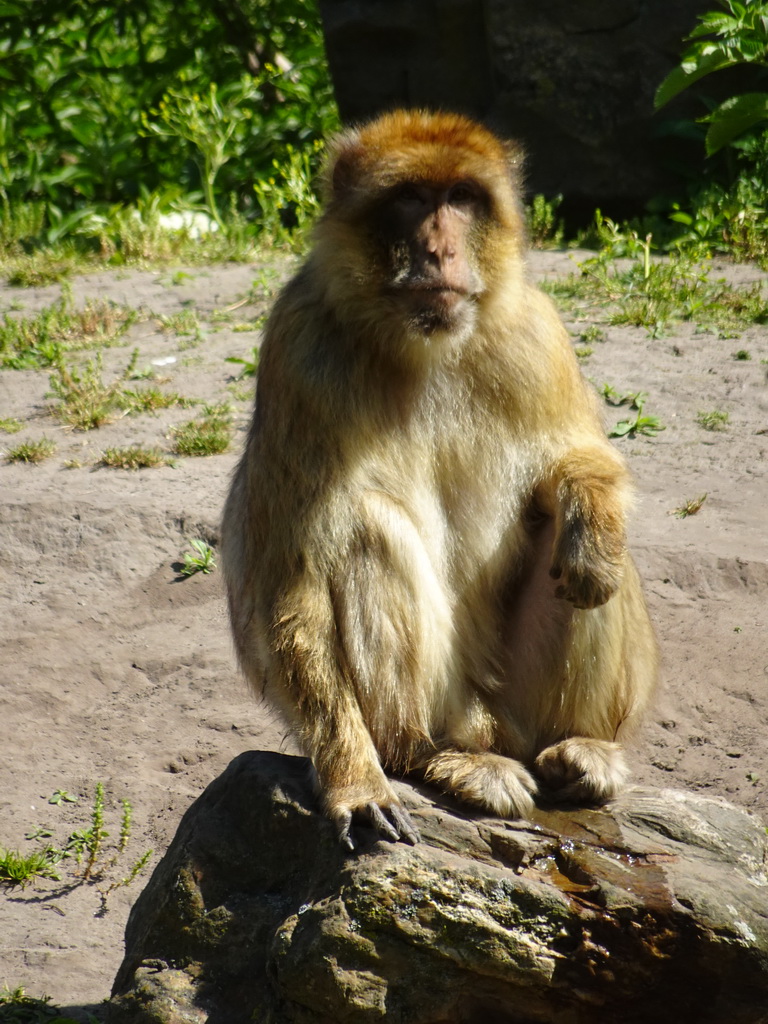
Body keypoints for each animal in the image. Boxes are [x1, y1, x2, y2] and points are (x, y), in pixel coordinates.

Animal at [219, 110, 659, 847]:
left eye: (462, 198)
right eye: (411, 199)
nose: (439, 249)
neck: (421, 342)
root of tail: (490, 727)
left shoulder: (539, 333)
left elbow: (577, 464)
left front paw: (591, 523)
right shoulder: (297, 349)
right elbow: (294, 582)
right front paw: (354, 780)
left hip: (518, 706)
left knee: (577, 554)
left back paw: (580, 746)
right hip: (448, 709)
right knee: (365, 533)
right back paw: (440, 759)